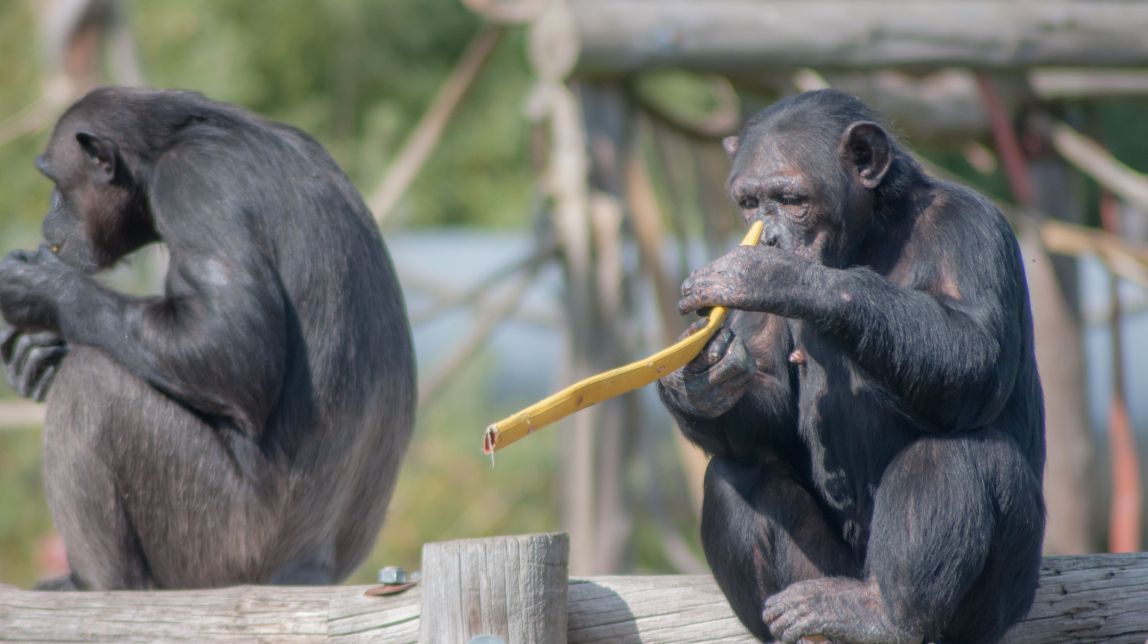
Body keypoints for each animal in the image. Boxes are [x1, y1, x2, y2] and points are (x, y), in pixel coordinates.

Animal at [0, 87, 417, 592]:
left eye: (55, 180)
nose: (49, 210)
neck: (161, 148)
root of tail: (309, 574)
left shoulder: (193, 185)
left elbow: (226, 344)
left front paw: (43, 289)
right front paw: (36, 350)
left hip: (220, 545)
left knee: (92, 383)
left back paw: (97, 585)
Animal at [661, 91, 1046, 642]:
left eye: (792, 199)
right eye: (750, 203)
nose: (769, 237)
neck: (870, 235)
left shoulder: (971, 228)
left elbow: (977, 356)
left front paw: (772, 276)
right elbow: (767, 408)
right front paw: (695, 376)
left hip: (995, 608)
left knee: (960, 451)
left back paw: (881, 613)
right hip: (817, 576)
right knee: (740, 471)